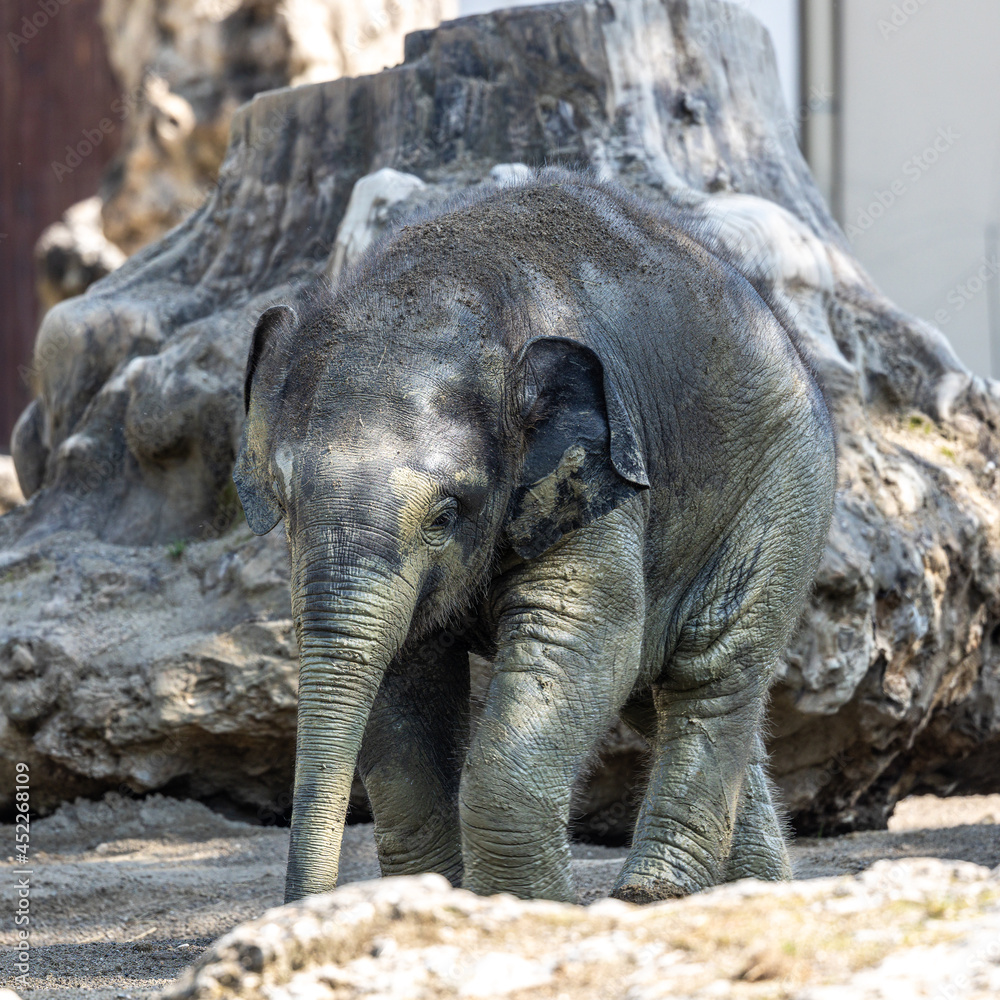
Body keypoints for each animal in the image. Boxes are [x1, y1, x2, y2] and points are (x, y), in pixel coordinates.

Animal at [233, 170, 837, 905]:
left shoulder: (602, 480)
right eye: (287, 503)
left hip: (782, 487)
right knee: (658, 689)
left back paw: (649, 900)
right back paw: (756, 895)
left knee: (710, 670)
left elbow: (579, 634)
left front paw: (515, 909)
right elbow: (401, 676)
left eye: (444, 516)